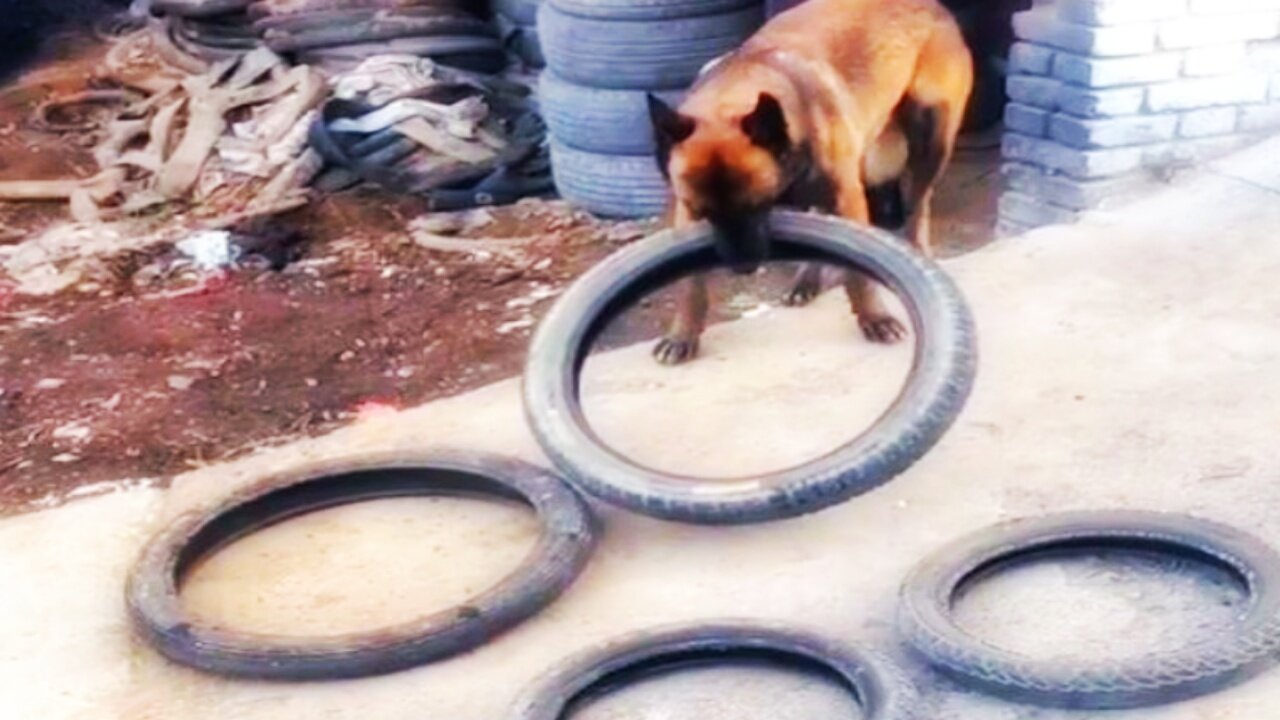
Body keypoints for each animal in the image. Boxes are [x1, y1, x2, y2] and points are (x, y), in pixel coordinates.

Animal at [645, 0, 972, 363]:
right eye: (704, 214)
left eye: (756, 205)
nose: (742, 267)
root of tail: (933, 6)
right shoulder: (685, 214)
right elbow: (690, 285)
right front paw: (682, 334)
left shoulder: (847, 200)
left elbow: (858, 275)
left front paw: (874, 317)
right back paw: (806, 280)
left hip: (931, 135)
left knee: (918, 208)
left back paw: (919, 253)